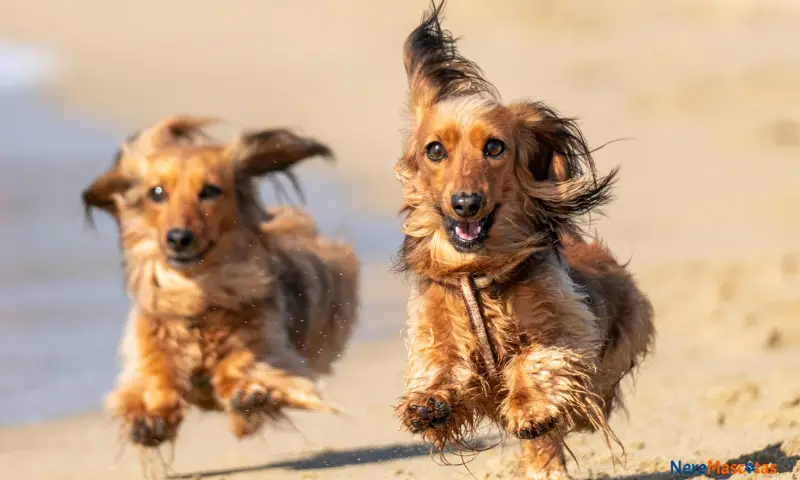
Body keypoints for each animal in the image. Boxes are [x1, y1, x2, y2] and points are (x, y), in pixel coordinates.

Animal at [80, 117, 356, 450]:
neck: (198, 295)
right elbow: (155, 380)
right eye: (156, 192)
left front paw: (249, 392)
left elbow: (241, 366)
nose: (178, 238)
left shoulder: (266, 343)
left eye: (210, 191)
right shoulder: (153, 343)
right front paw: (149, 416)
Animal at [394, 4, 656, 480]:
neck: (478, 274)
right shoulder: (437, 330)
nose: (465, 203)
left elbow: (536, 360)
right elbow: (441, 365)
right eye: (435, 150)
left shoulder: (568, 332)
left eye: (495, 147)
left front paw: (531, 408)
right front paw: (428, 403)